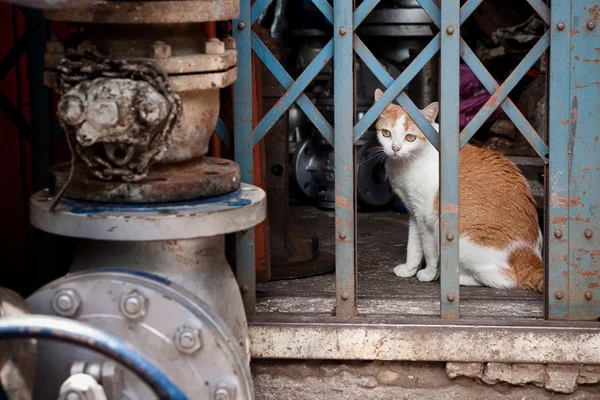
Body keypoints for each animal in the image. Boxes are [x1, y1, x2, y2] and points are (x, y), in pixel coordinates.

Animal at [376, 89, 544, 292]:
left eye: (410, 137)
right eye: (386, 133)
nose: (395, 148)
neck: (404, 164)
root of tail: (533, 259)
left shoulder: (425, 217)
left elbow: (428, 250)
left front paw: (429, 274)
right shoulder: (413, 211)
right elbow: (414, 246)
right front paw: (409, 269)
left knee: (504, 280)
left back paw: (452, 277)